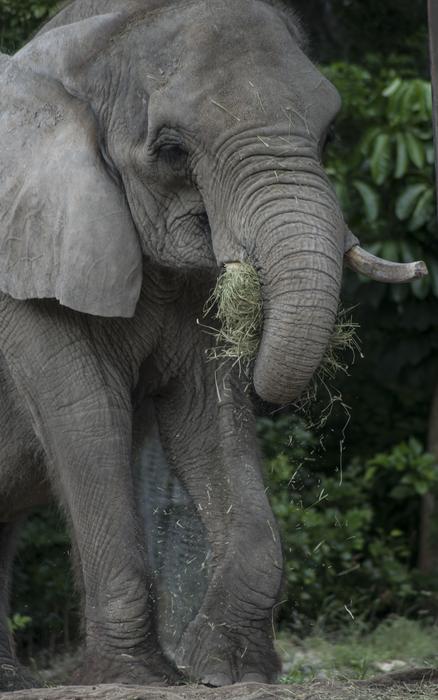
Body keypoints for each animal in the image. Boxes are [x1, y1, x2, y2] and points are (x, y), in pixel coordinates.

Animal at [0, 0, 426, 691]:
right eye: (172, 150)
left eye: (329, 135)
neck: (88, 46)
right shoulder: (22, 267)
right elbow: (87, 414)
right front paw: (138, 677)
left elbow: (212, 415)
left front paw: (227, 671)